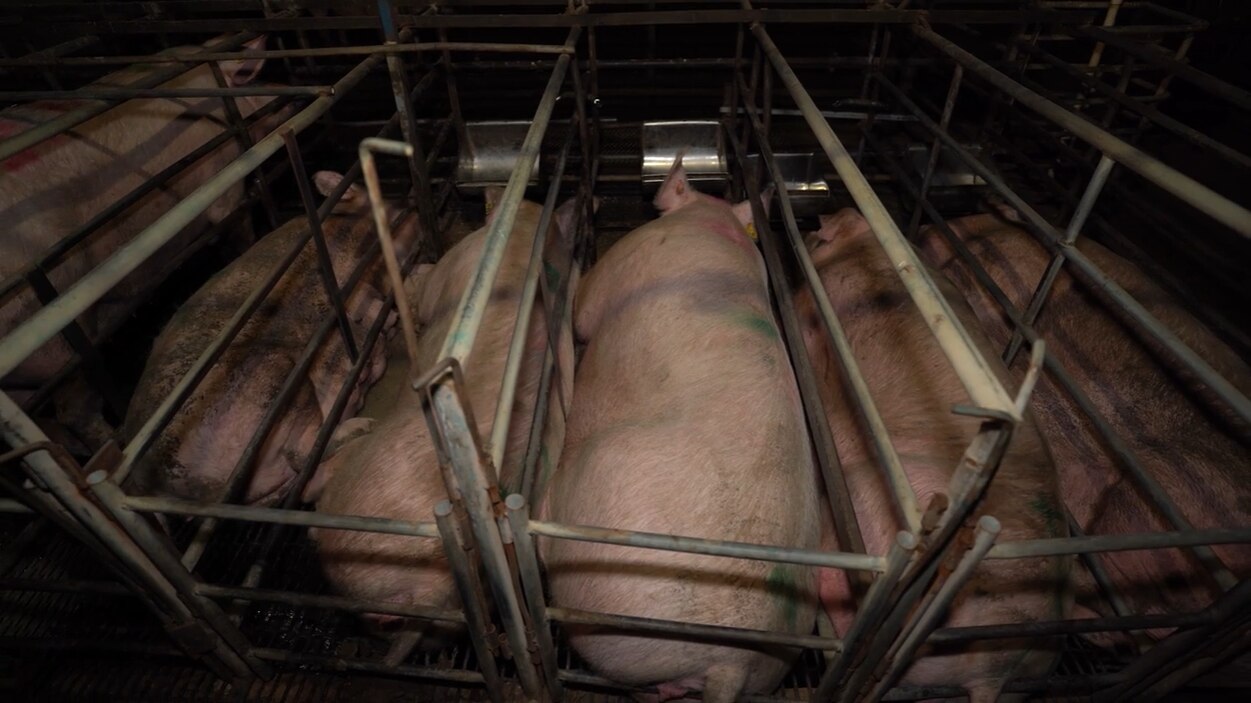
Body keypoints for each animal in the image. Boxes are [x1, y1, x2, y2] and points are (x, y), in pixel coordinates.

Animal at [0, 35, 293, 446]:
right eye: (257, 83)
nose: (291, 98)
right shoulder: (221, 178)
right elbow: (236, 223)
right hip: (59, 345)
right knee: (76, 411)